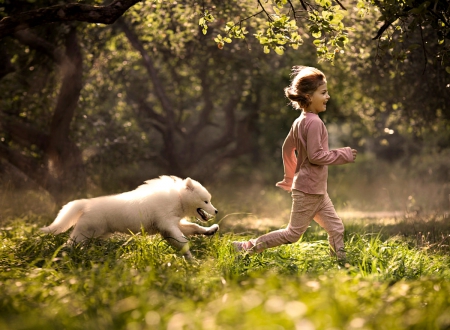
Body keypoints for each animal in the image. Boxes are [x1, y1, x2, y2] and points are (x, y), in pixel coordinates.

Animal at [40, 175, 220, 258]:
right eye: (206, 201)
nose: (216, 211)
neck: (179, 198)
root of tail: (86, 204)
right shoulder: (168, 225)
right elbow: (183, 241)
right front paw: (191, 259)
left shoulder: (172, 225)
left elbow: (194, 227)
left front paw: (210, 230)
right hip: (84, 233)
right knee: (68, 244)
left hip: (94, 236)